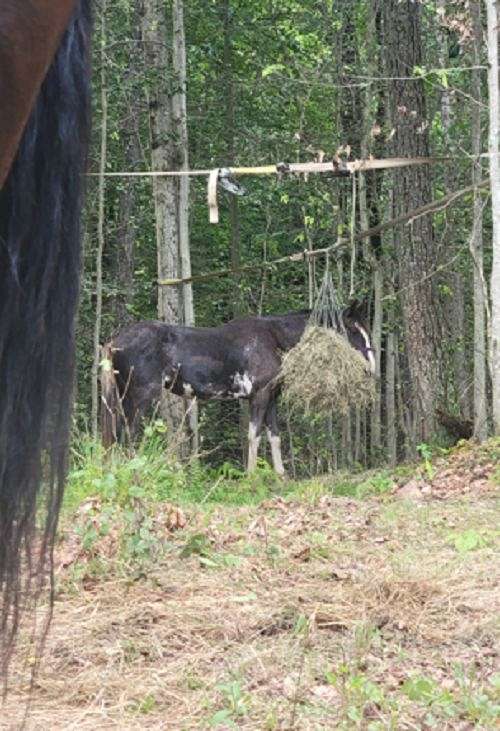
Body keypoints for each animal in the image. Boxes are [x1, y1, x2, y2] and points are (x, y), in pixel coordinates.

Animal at [101, 304, 375, 475]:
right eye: (353, 329)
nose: (371, 367)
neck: (274, 338)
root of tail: (115, 340)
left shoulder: (271, 398)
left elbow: (274, 436)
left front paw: (281, 475)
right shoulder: (259, 395)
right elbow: (254, 435)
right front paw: (251, 477)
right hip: (139, 396)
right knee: (126, 432)